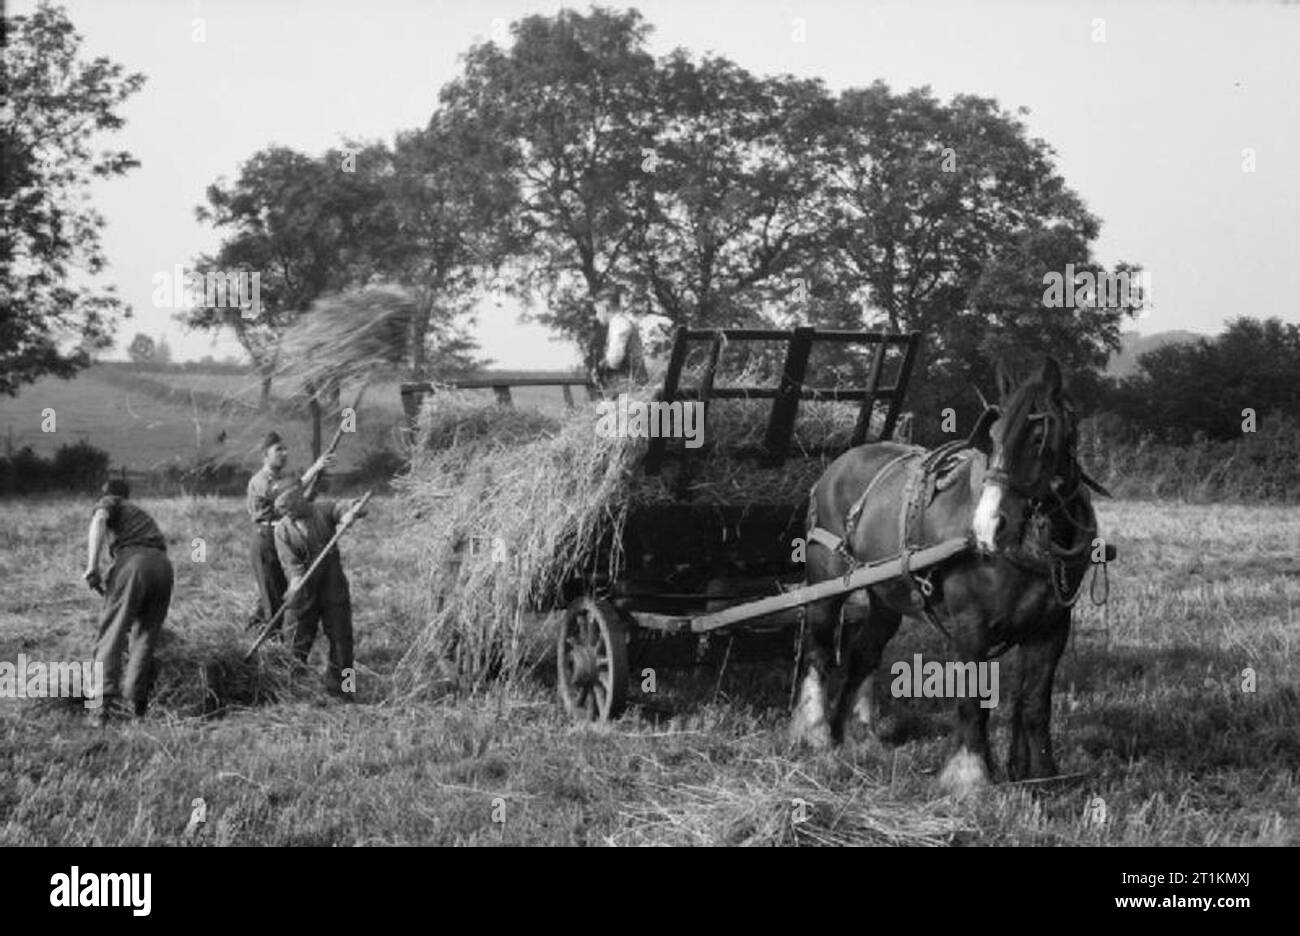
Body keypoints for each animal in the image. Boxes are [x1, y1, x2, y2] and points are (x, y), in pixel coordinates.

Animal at [790, 353, 1107, 795]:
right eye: (994, 435)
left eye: (1040, 435)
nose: (990, 525)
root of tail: (838, 464)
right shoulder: (970, 623)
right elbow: (972, 700)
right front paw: (969, 776)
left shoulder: (1051, 627)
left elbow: (1033, 703)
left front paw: (1041, 775)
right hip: (825, 582)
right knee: (818, 650)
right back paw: (816, 732)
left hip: (887, 596)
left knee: (863, 653)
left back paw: (849, 735)